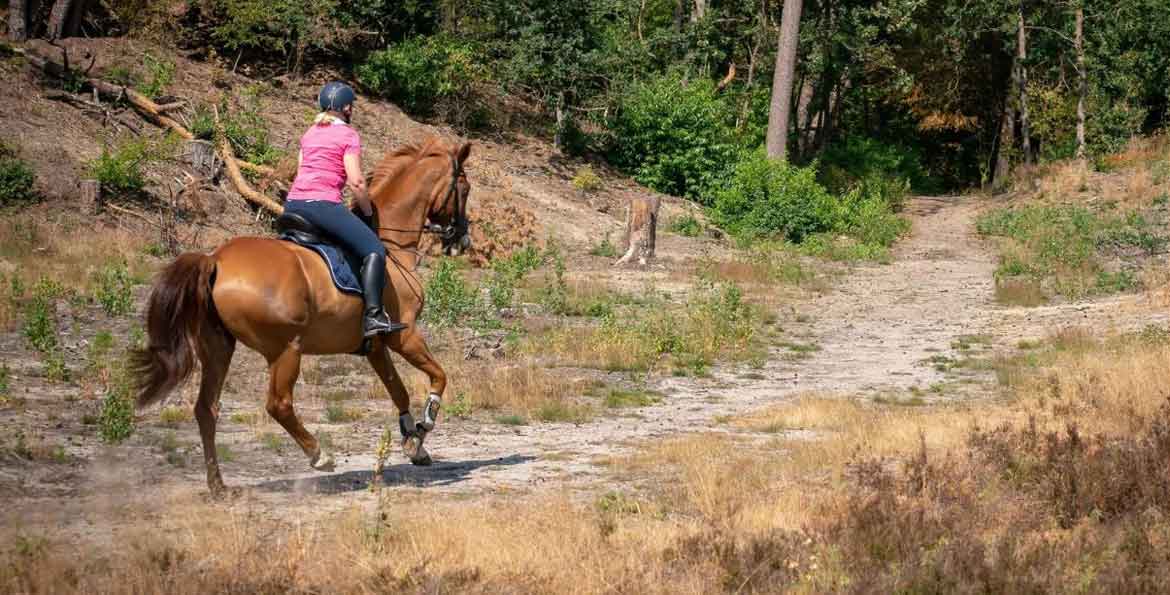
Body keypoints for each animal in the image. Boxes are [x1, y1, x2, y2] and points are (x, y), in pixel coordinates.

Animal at [129, 136, 470, 493]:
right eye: (465, 188)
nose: (462, 238)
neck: (392, 247)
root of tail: (216, 260)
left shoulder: (375, 346)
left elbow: (398, 390)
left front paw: (414, 443)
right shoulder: (402, 335)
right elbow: (439, 376)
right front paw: (426, 423)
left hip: (218, 347)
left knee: (206, 408)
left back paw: (218, 486)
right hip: (286, 349)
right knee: (278, 404)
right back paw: (320, 455)